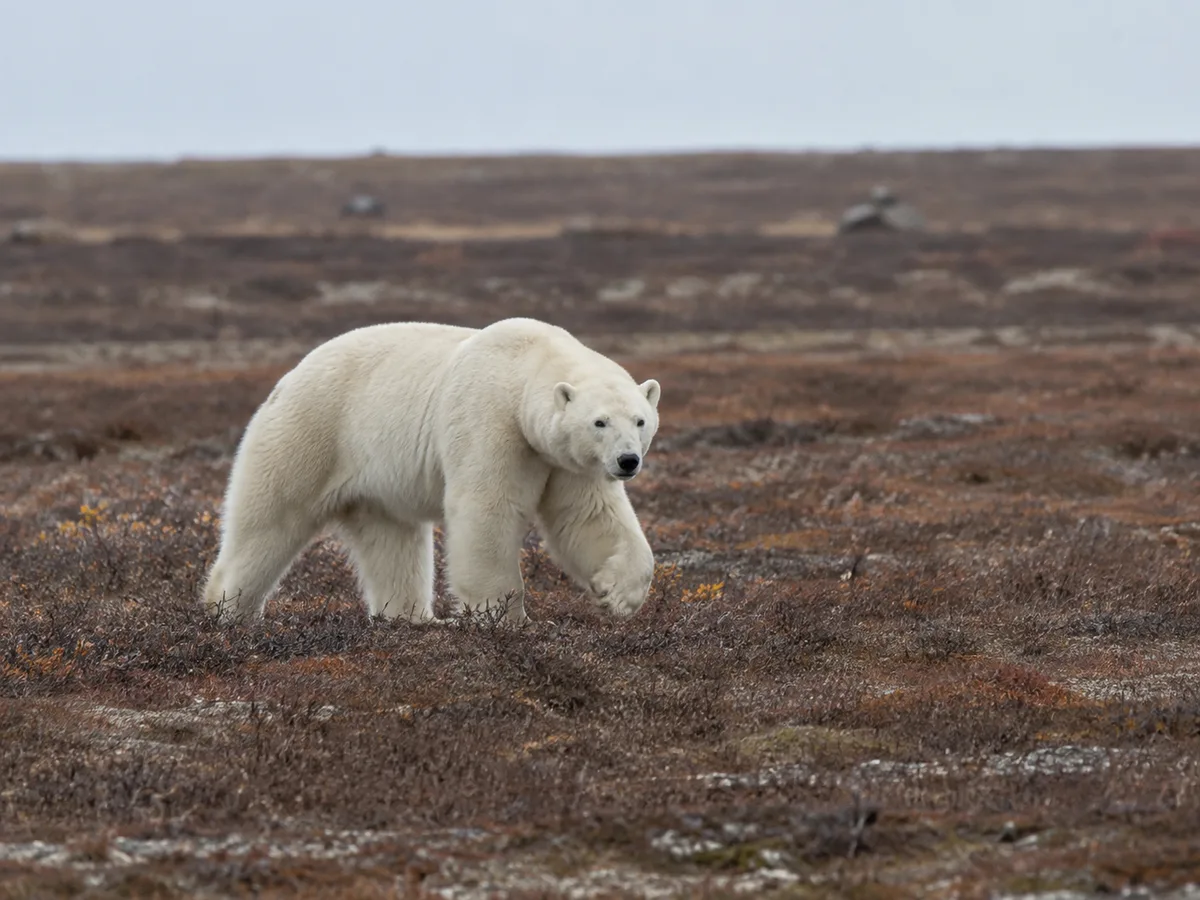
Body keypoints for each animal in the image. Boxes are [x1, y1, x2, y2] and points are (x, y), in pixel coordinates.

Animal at [202, 316, 662, 626]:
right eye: (599, 422)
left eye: (640, 420)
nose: (627, 461)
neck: (523, 364)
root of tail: (290, 375)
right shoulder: (489, 418)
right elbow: (486, 509)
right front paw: (506, 618)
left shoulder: (563, 460)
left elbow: (587, 516)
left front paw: (617, 594)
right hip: (312, 433)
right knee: (270, 519)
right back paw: (228, 611)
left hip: (377, 482)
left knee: (393, 543)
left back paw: (410, 619)